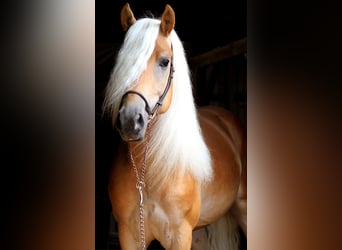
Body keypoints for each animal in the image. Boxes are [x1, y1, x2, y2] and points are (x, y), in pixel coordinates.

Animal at [101, 2, 246, 249]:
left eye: (164, 61)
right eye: (121, 63)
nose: (130, 120)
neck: (148, 174)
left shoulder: (180, 235)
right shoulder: (128, 234)